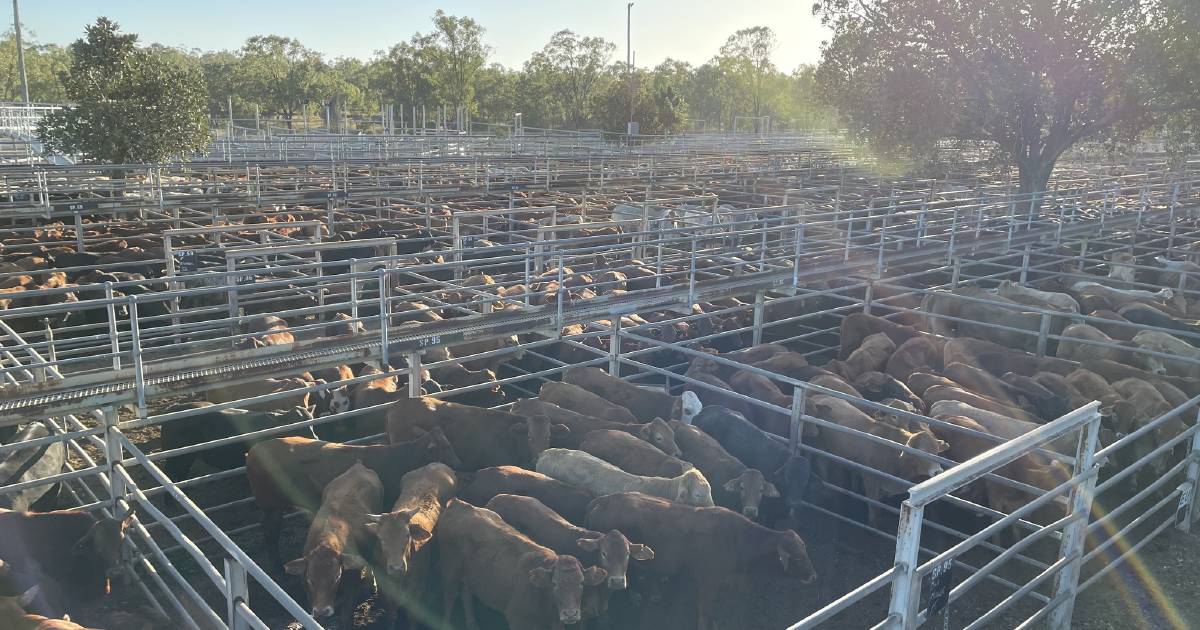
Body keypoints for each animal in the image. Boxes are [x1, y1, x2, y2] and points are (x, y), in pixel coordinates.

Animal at [436, 499, 604, 624]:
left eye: (581, 583)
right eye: (554, 583)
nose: (570, 614)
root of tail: (460, 504)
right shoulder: (517, 618)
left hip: (470, 576)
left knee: (467, 595)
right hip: (449, 569)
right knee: (450, 596)